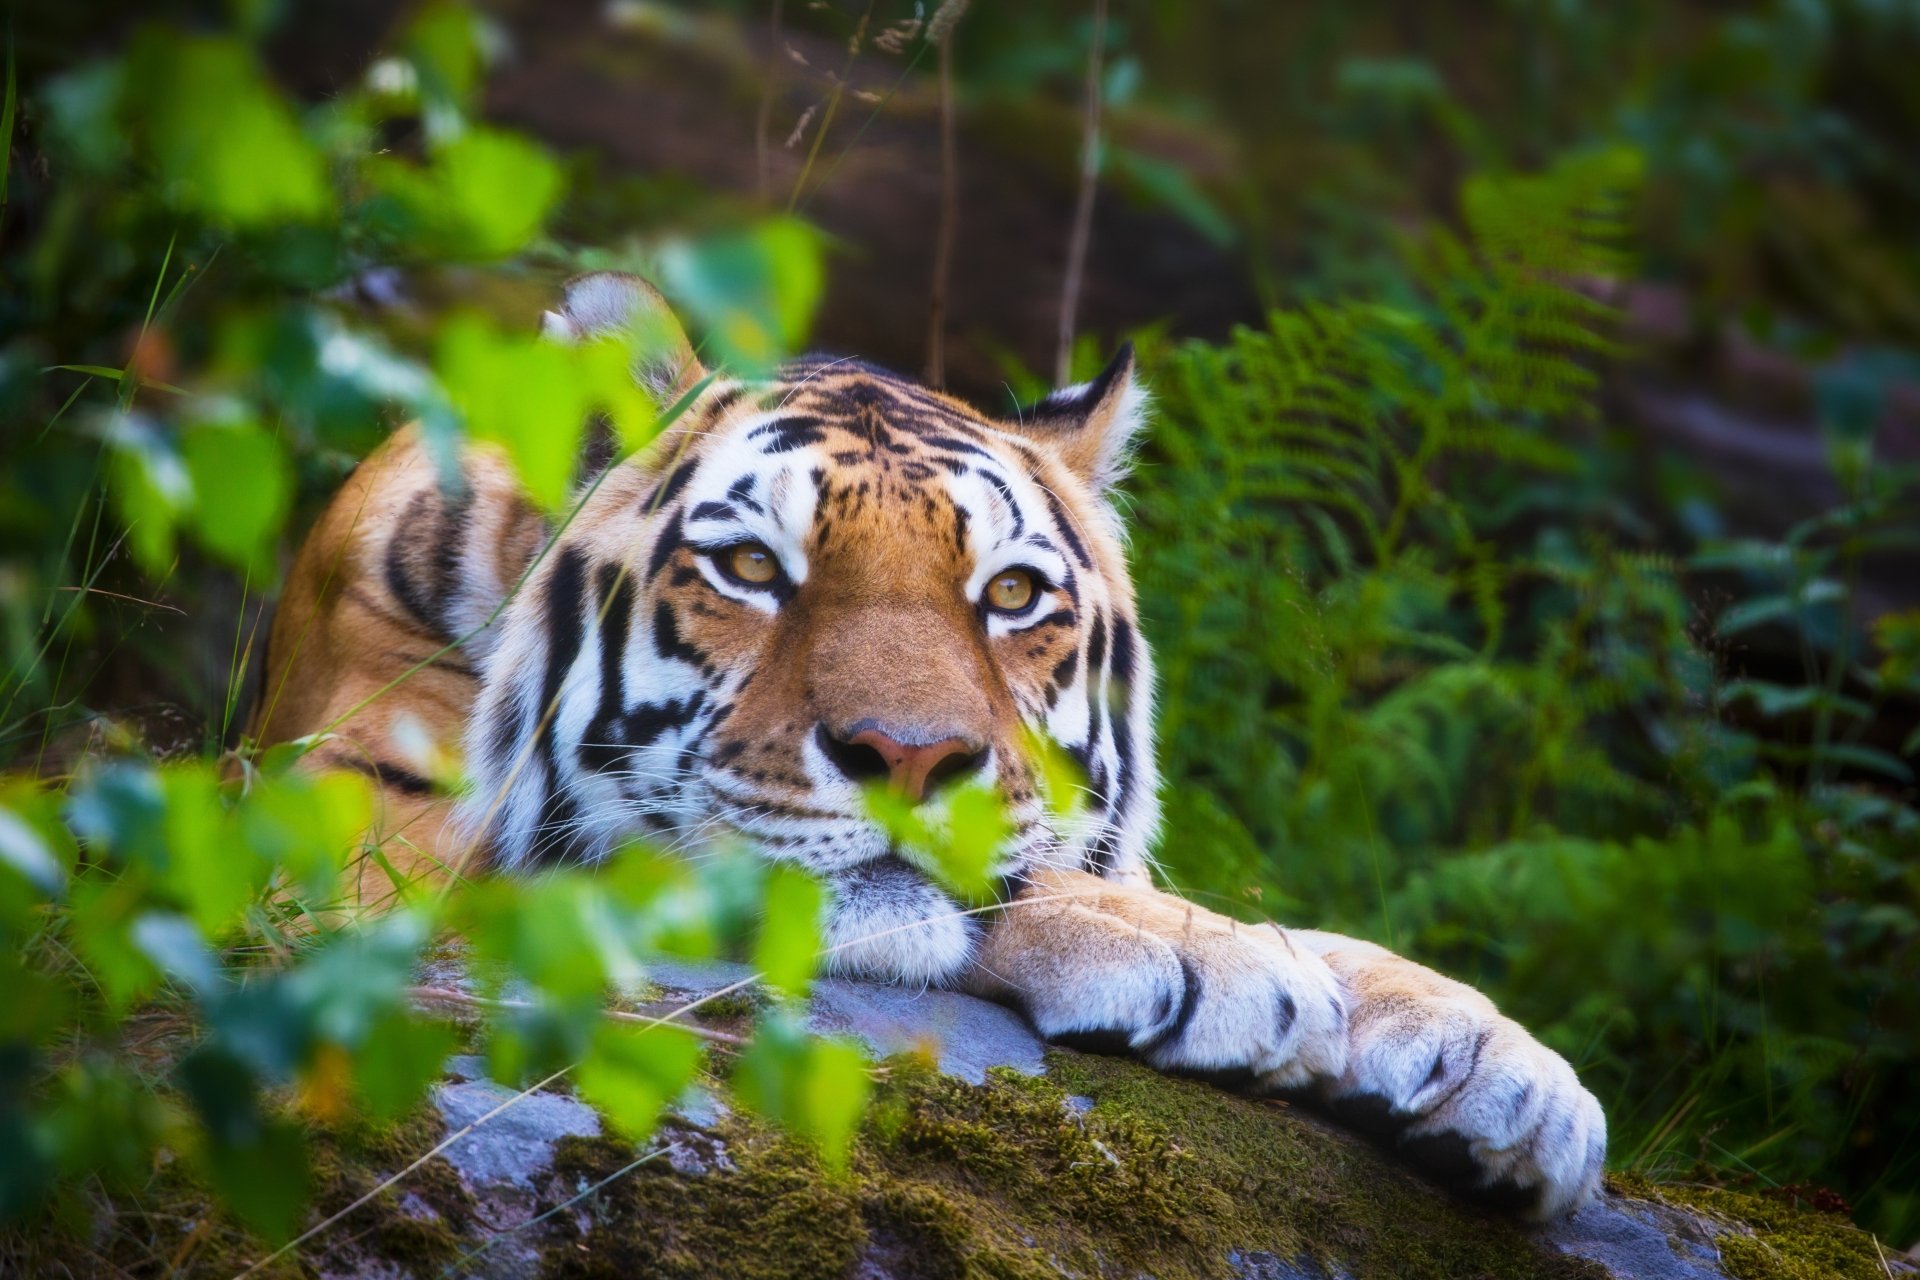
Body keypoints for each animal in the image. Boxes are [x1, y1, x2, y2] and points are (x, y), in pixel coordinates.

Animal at [252, 272, 1607, 1219]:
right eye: (752, 567)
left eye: (1011, 594)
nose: (910, 757)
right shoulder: (364, 854)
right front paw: (1203, 956)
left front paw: (1504, 1062)